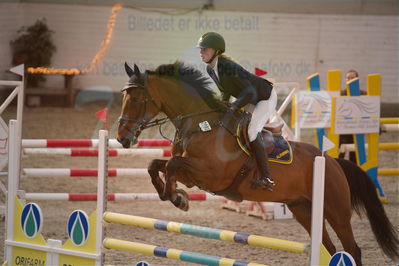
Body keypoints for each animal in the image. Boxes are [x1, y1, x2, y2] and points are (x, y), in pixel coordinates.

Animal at [117, 61, 398, 264]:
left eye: (135, 99)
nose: (122, 138)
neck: (200, 124)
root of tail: (332, 161)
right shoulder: (194, 173)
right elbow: (156, 165)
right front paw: (176, 195)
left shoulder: (211, 175)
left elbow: (173, 164)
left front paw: (177, 198)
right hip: (302, 209)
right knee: (328, 247)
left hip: (336, 210)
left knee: (352, 249)